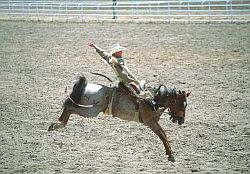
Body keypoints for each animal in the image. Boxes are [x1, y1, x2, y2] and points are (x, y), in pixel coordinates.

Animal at [47, 75, 190, 162]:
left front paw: (169, 153)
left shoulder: (154, 121)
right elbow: (162, 135)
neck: (153, 99)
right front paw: (170, 154)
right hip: (91, 110)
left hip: (89, 109)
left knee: (69, 107)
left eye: (186, 105)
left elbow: (164, 134)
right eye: (180, 104)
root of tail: (87, 84)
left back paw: (57, 124)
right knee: (70, 109)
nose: (182, 120)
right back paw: (57, 125)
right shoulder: (150, 122)